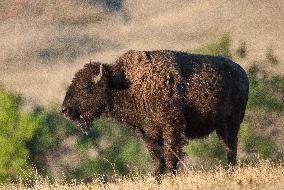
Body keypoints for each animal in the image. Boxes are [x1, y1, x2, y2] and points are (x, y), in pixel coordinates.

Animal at [60, 50, 248, 177]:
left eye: (86, 87)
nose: (64, 110)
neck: (124, 83)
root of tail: (242, 73)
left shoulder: (171, 128)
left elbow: (171, 155)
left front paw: (171, 177)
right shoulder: (148, 133)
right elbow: (158, 158)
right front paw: (157, 177)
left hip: (231, 123)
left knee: (231, 147)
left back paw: (230, 170)